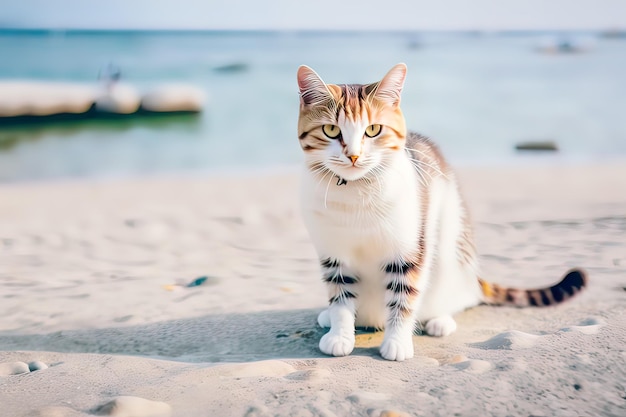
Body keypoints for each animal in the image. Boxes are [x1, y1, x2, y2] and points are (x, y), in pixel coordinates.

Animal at [294, 62, 584, 360]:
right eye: (331, 130)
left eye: (373, 129)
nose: (353, 156)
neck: (356, 190)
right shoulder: (334, 257)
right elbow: (340, 298)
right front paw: (340, 335)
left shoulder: (410, 250)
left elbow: (403, 298)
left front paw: (397, 343)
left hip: (449, 246)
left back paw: (439, 320)